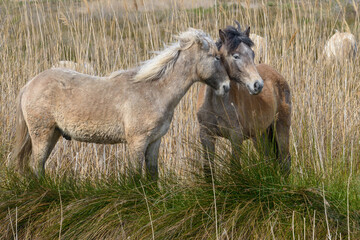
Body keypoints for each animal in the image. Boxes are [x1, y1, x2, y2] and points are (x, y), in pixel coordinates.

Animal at [13, 28, 231, 180]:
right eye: (216, 57)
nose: (227, 86)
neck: (154, 91)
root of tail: (29, 85)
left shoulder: (154, 141)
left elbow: (152, 174)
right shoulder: (137, 141)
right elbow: (135, 175)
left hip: (53, 134)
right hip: (42, 134)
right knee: (37, 165)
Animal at [197, 23, 292, 180]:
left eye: (252, 54)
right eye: (236, 56)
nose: (258, 85)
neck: (216, 103)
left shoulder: (236, 137)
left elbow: (234, 168)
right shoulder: (206, 135)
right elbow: (208, 170)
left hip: (281, 127)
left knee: (285, 160)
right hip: (261, 135)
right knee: (268, 159)